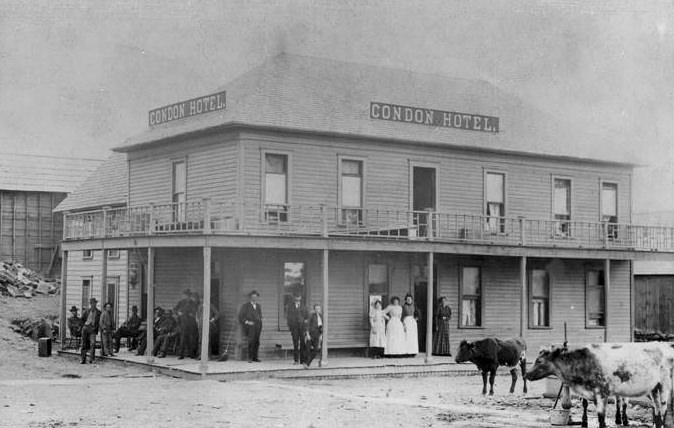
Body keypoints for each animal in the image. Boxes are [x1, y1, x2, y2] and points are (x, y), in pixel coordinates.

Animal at [524, 342, 672, 428]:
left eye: (539, 361)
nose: (526, 374)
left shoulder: (602, 393)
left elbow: (601, 419)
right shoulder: (593, 395)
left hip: (665, 386)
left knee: (664, 411)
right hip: (654, 388)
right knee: (657, 412)